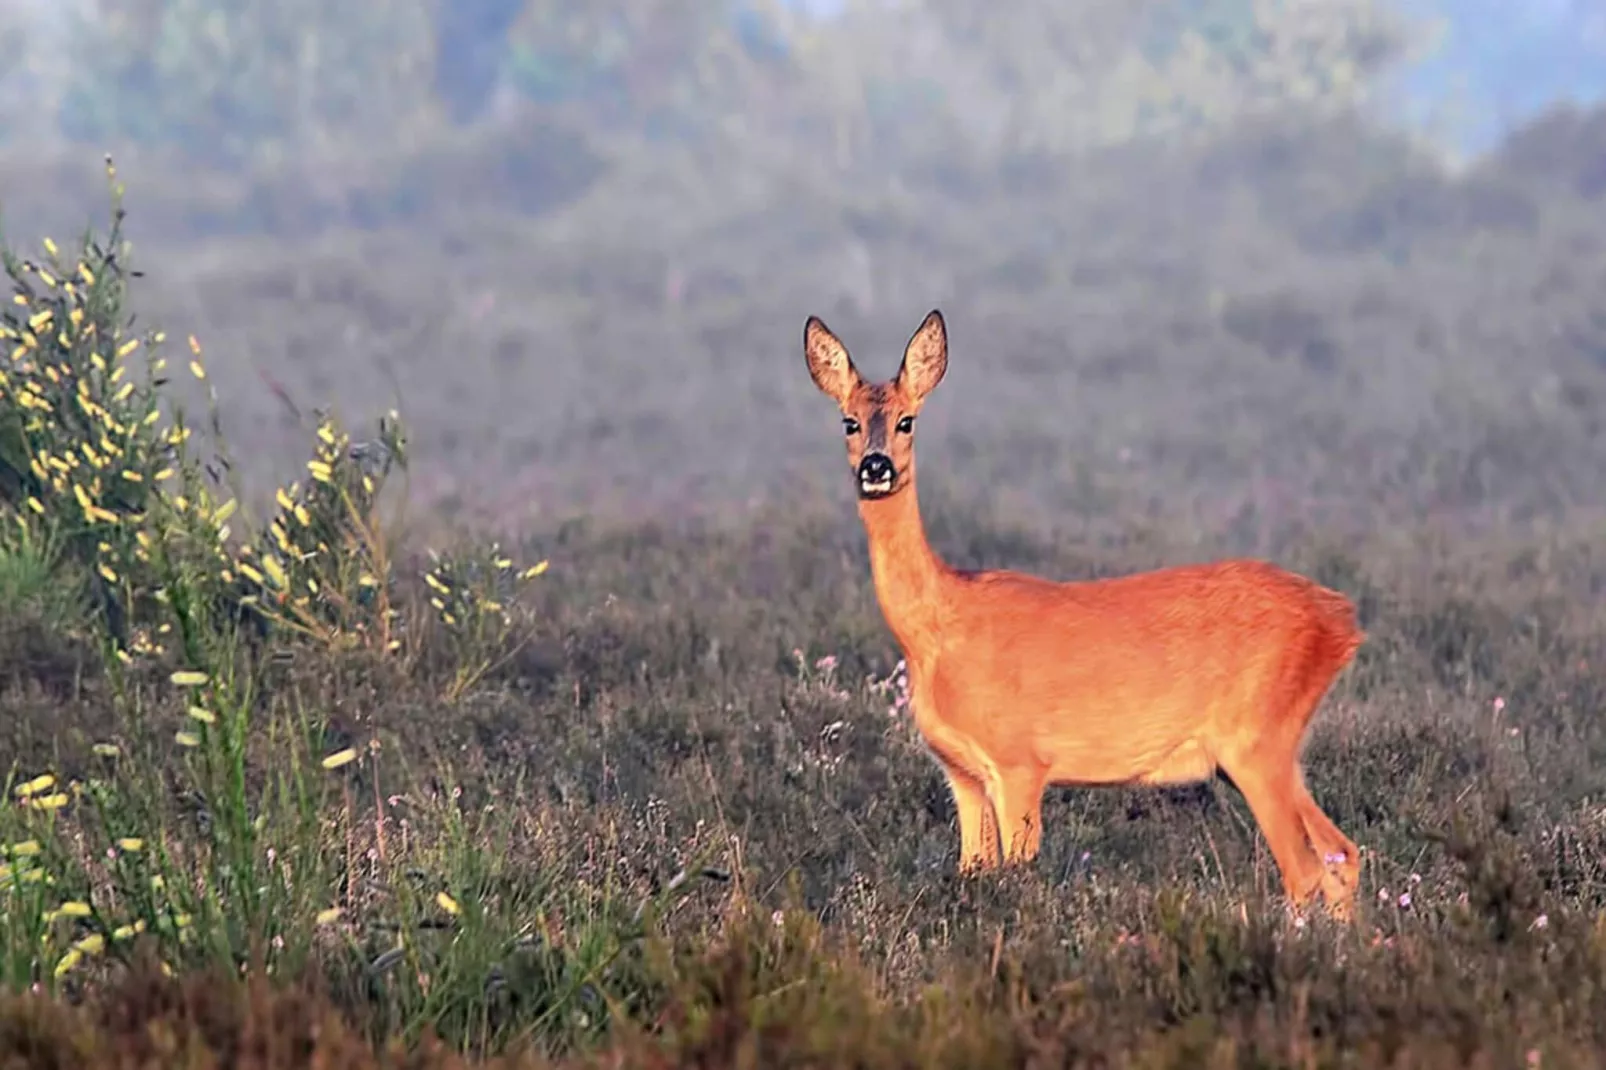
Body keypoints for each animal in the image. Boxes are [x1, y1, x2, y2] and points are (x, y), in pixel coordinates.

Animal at [803, 303, 1368, 912]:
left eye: (907, 420)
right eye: (849, 422)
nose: (876, 468)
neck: (938, 629)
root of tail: (1342, 620)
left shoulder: (1020, 761)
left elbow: (1017, 877)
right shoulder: (962, 773)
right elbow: (971, 870)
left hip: (1256, 738)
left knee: (1305, 871)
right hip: (1275, 748)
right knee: (1342, 854)